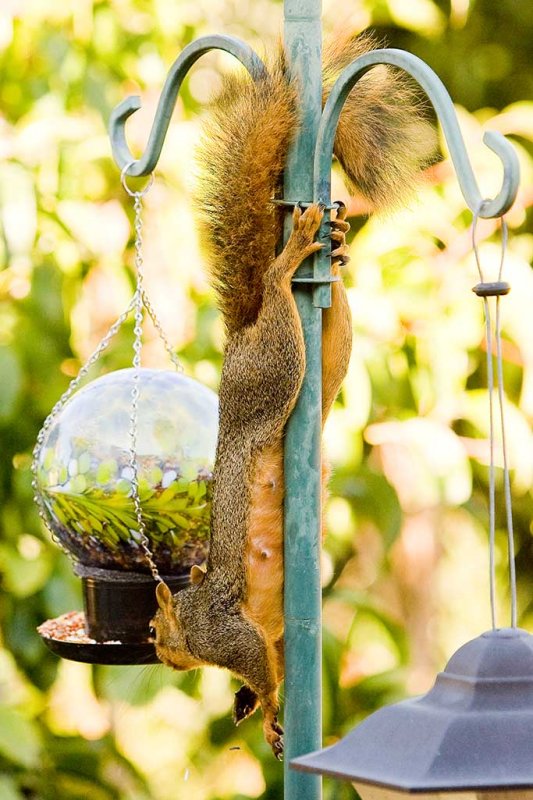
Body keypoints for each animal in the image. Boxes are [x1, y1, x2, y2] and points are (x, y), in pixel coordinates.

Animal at [149, 31, 432, 756]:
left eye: (157, 632)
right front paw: (258, 709)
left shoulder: (229, 633)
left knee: (279, 294)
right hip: (317, 365)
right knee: (334, 329)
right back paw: (334, 254)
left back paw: (290, 259)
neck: (197, 613)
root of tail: (240, 338)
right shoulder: (268, 635)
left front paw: (265, 700)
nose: (158, 655)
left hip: (270, 371)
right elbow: (273, 660)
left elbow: (258, 660)